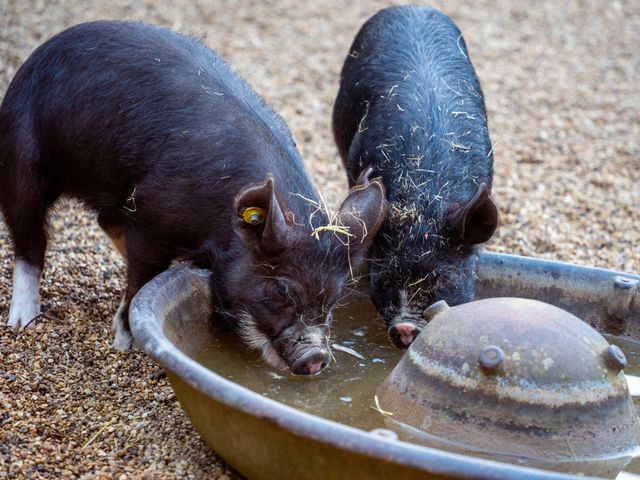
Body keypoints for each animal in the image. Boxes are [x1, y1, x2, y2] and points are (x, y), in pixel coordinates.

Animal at [1, 21, 390, 376]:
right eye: (281, 291)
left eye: (332, 300)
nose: (316, 358)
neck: (214, 229)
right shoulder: (150, 216)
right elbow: (141, 277)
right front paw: (124, 342)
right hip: (21, 157)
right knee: (29, 239)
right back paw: (22, 321)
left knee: (103, 219)